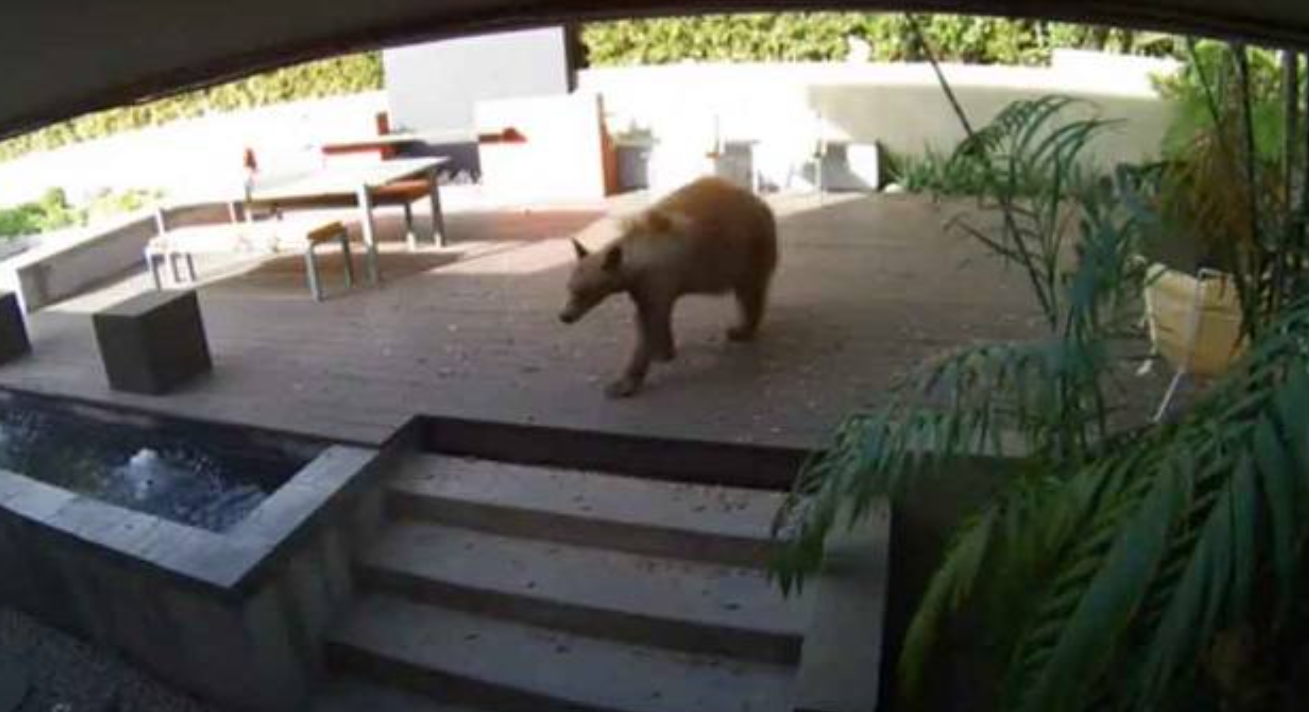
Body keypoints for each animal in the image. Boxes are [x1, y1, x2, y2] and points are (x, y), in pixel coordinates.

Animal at [559, 176, 778, 398]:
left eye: (584, 292)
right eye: (569, 287)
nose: (565, 316)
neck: (639, 256)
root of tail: (759, 202)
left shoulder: (656, 279)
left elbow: (650, 322)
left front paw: (623, 383)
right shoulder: (642, 286)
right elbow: (645, 318)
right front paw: (663, 352)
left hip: (750, 249)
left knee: (750, 291)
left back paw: (741, 330)